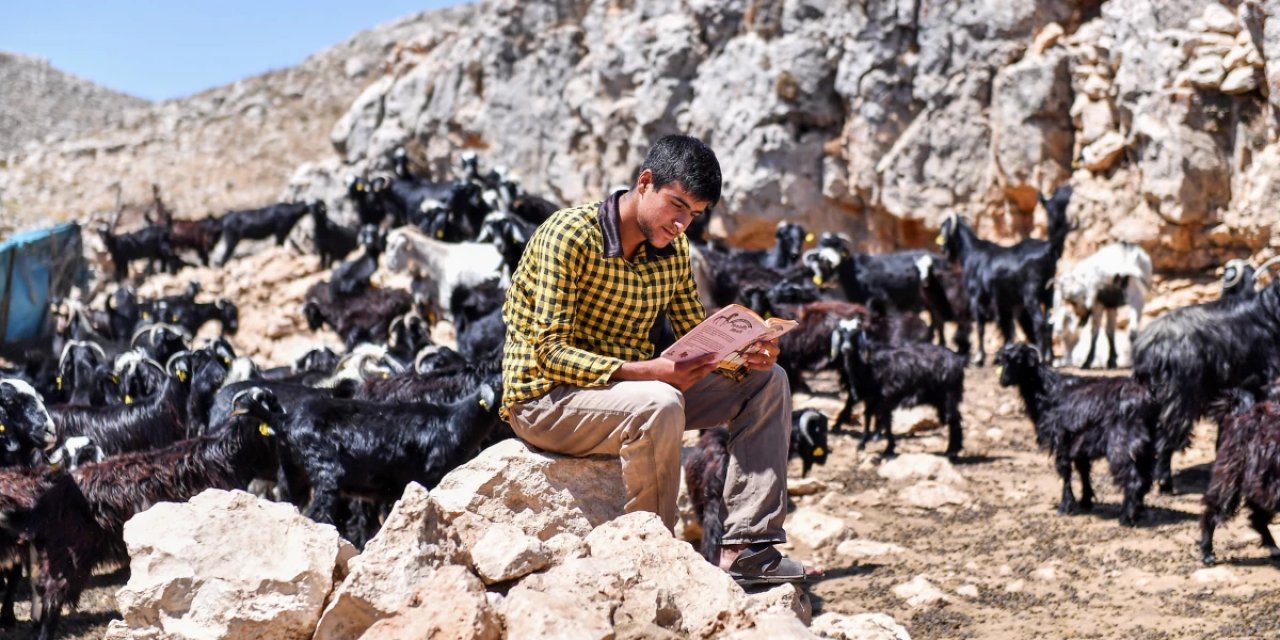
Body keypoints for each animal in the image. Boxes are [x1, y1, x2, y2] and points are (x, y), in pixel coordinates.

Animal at [998, 343, 1162, 522]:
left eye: (1019, 360)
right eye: (1002, 360)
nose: (1003, 381)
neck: (1046, 389)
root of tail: (1146, 393)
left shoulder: (1061, 440)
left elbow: (1065, 472)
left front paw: (1065, 506)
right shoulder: (1079, 443)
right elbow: (1083, 470)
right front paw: (1085, 501)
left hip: (1123, 443)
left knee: (1134, 478)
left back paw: (1126, 517)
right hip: (1145, 445)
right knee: (1145, 477)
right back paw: (1137, 511)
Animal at [1049, 240, 1152, 371]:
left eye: (1073, 301)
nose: (1081, 319)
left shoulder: (1098, 303)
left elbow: (1095, 332)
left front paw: (1088, 362)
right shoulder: (1111, 305)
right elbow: (1109, 331)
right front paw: (1112, 361)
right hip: (1137, 298)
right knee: (1133, 330)